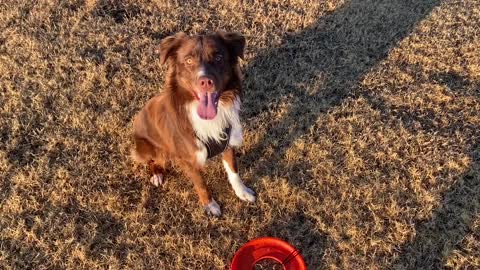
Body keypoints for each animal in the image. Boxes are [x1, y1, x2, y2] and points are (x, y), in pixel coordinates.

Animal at [129, 31, 256, 216]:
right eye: (189, 61)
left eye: (218, 57)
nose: (205, 81)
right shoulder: (189, 160)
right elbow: (201, 184)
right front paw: (210, 205)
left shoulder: (227, 142)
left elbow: (234, 170)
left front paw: (242, 192)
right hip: (149, 148)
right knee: (152, 160)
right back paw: (156, 175)